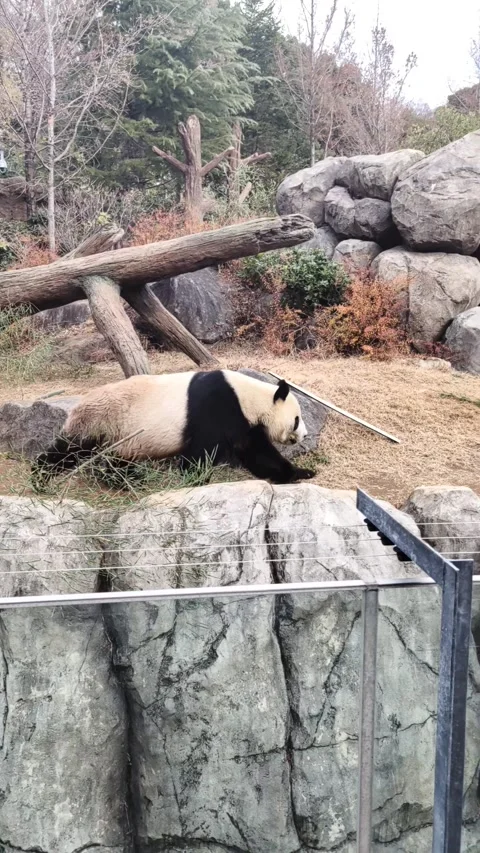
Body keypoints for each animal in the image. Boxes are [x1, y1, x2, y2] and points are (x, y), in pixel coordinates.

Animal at [32, 369, 316, 487]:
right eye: (297, 419)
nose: (305, 434)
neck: (248, 396)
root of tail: (78, 405)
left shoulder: (244, 423)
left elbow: (257, 453)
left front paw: (301, 473)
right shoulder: (216, 408)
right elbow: (201, 452)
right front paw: (195, 480)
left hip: (122, 436)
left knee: (116, 460)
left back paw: (129, 480)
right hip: (101, 421)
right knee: (70, 450)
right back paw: (40, 477)